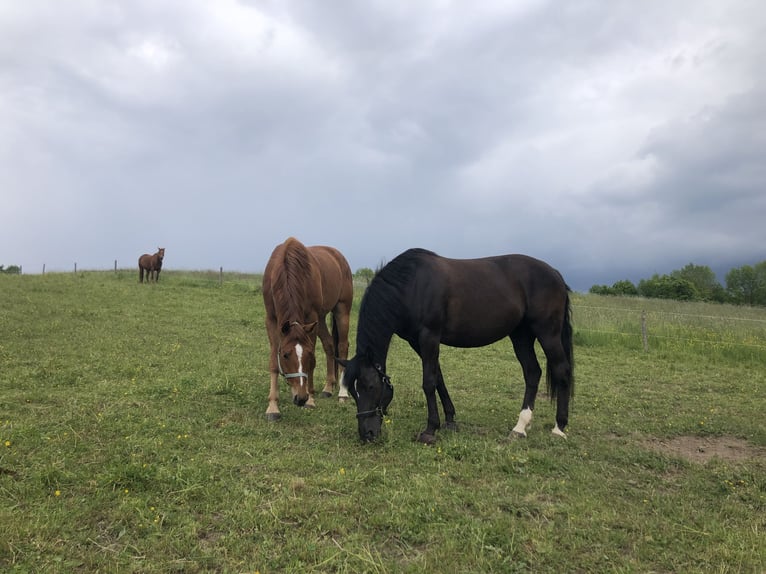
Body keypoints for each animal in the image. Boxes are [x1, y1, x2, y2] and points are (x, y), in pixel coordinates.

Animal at [262, 237, 354, 421]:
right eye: (285, 355)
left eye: (308, 354)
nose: (301, 398)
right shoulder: (272, 319)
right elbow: (273, 362)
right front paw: (273, 407)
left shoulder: (311, 317)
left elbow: (312, 363)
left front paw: (311, 400)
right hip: (321, 320)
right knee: (329, 345)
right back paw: (328, 387)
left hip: (341, 309)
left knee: (342, 346)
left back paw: (342, 393)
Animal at [338, 248, 574, 444]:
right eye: (352, 392)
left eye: (370, 387)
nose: (367, 434)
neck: (411, 286)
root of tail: (555, 274)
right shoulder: (417, 341)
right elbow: (438, 378)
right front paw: (450, 420)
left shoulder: (429, 337)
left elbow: (428, 382)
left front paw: (430, 430)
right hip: (521, 336)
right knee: (532, 372)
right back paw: (520, 427)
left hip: (547, 334)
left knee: (561, 370)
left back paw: (558, 428)